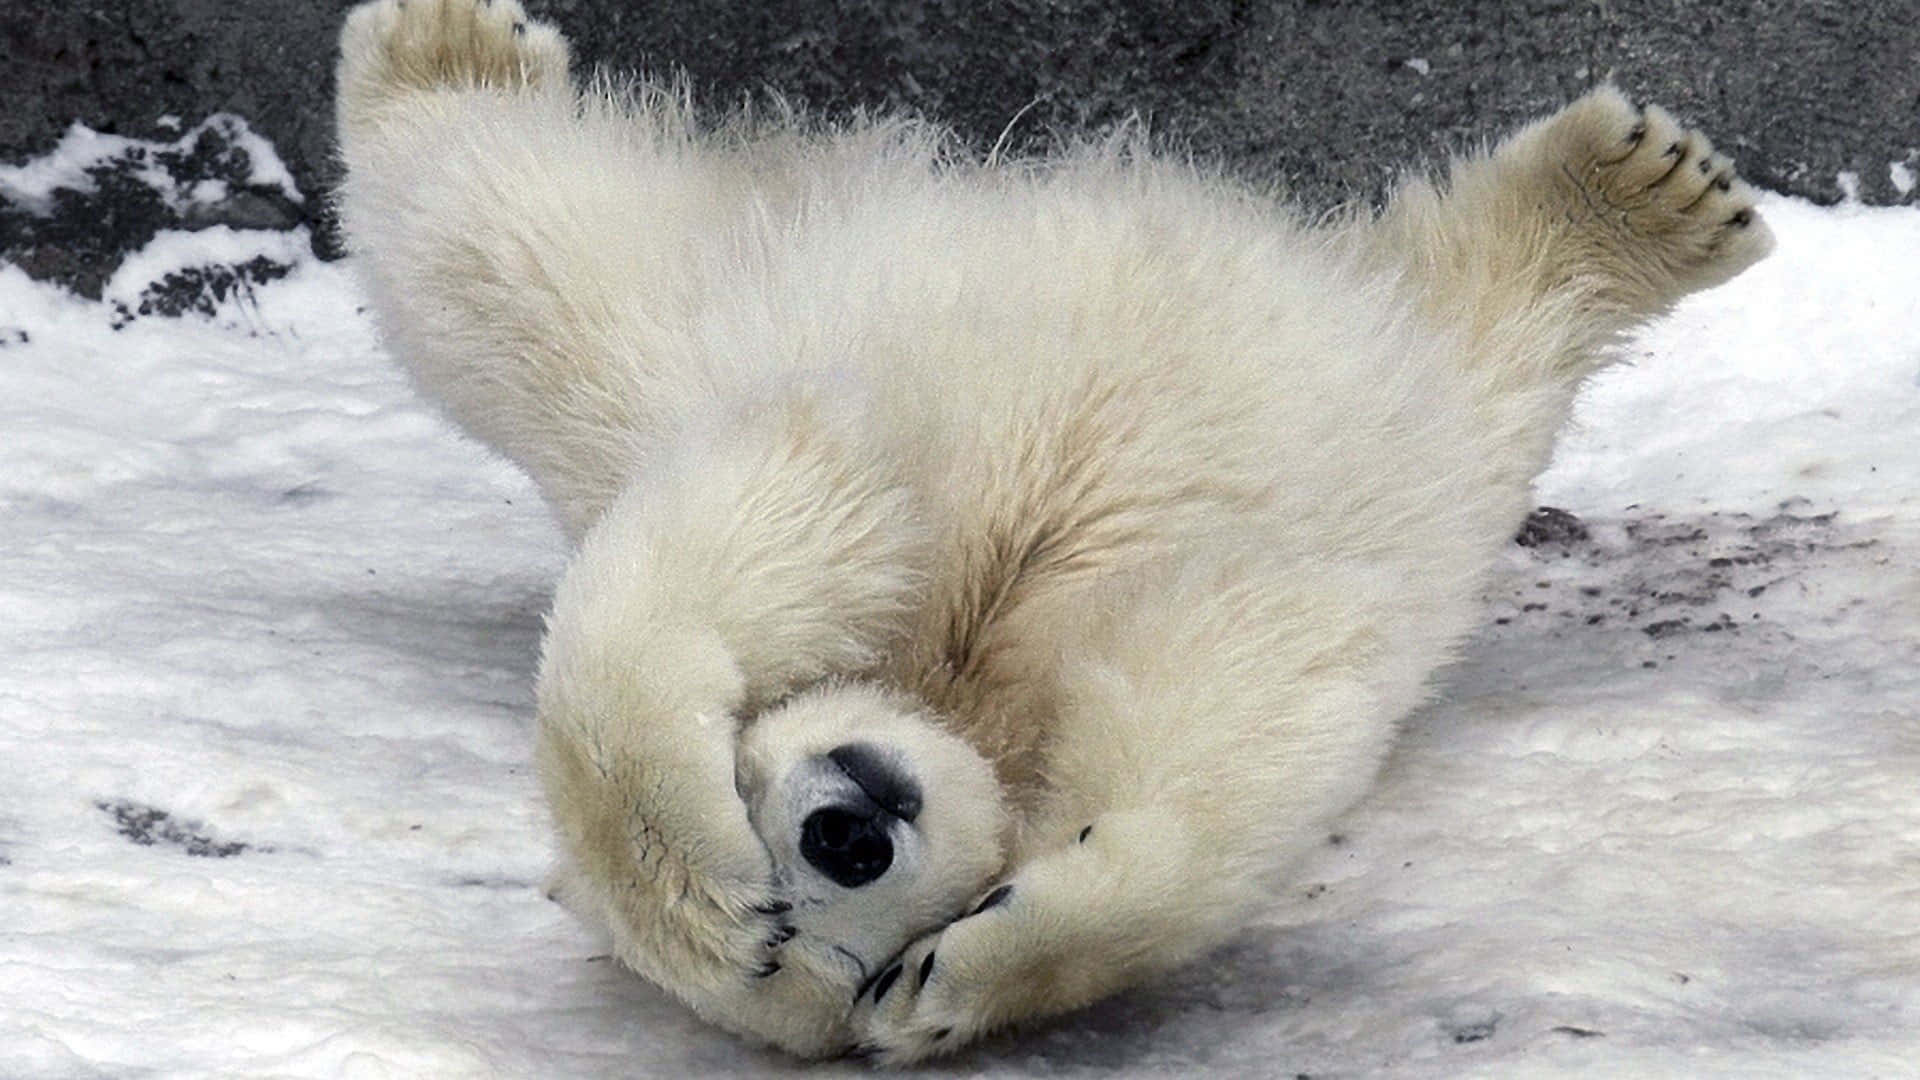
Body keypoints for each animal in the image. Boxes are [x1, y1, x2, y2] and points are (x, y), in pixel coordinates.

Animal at [334, 0, 1771, 1064]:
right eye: (824, 959)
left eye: (765, 835)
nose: (847, 827)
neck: (959, 679)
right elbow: (1228, 699)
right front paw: (989, 960)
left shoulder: (863, 477)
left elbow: (769, 534)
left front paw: (691, 864)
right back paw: (1639, 202)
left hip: (700, 327)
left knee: (516, 259)